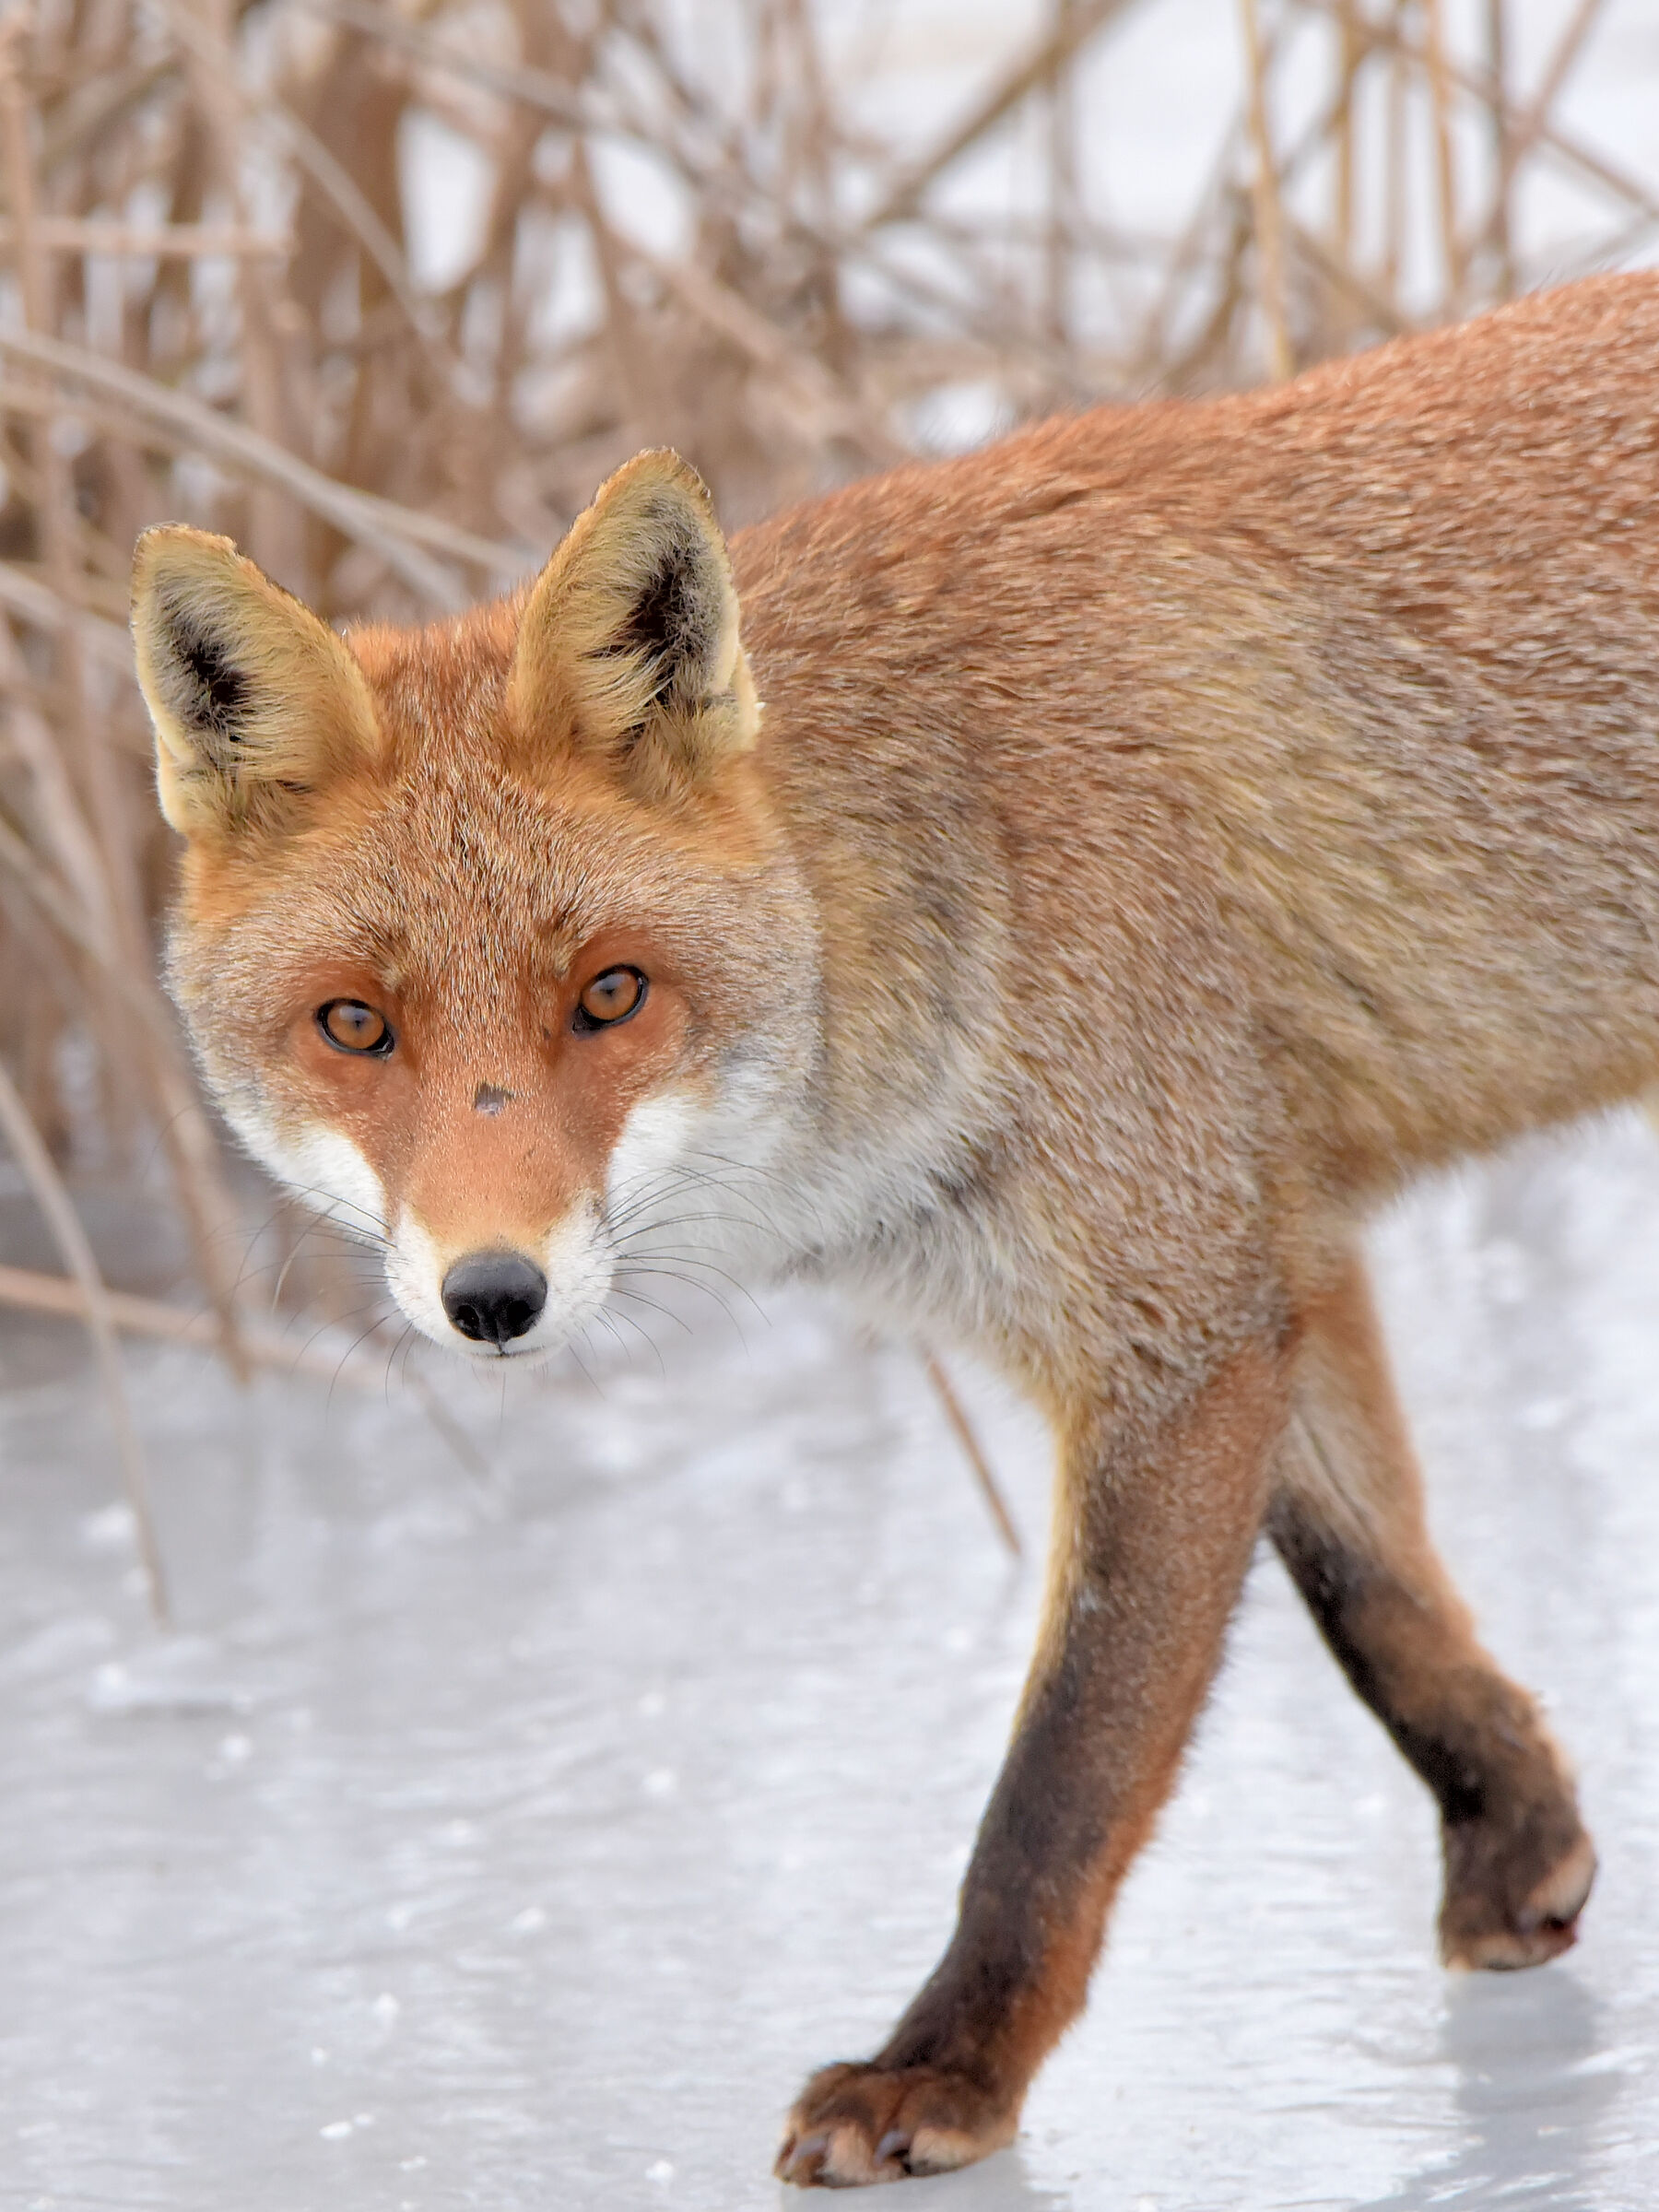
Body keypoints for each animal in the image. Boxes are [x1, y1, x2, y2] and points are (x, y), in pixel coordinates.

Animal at [131, 271, 1658, 2188]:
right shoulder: (1257, 1253)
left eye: (610, 994)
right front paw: (1517, 1848)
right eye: (355, 1026)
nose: (493, 1296)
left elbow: (1056, 1791)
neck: (968, 863)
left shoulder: (1167, 1324)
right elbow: (1376, 1597)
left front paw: (949, 2069)